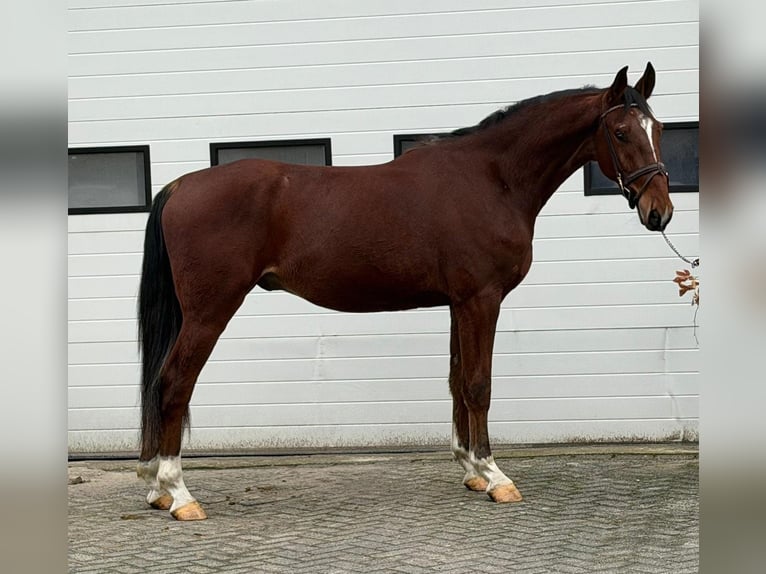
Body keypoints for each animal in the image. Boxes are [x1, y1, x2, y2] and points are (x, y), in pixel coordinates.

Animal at [136, 63, 673, 520]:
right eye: (621, 132)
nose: (659, 212)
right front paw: (496, 476)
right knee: (174, 384)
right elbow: (479, 385)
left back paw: (157, 487)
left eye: (660, 130)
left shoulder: (460, 303)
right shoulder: (482, 299)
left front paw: (471, 471)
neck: (492, 178)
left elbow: (457, 381)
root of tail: (181, 186)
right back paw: (179, 494)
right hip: (209, 312)